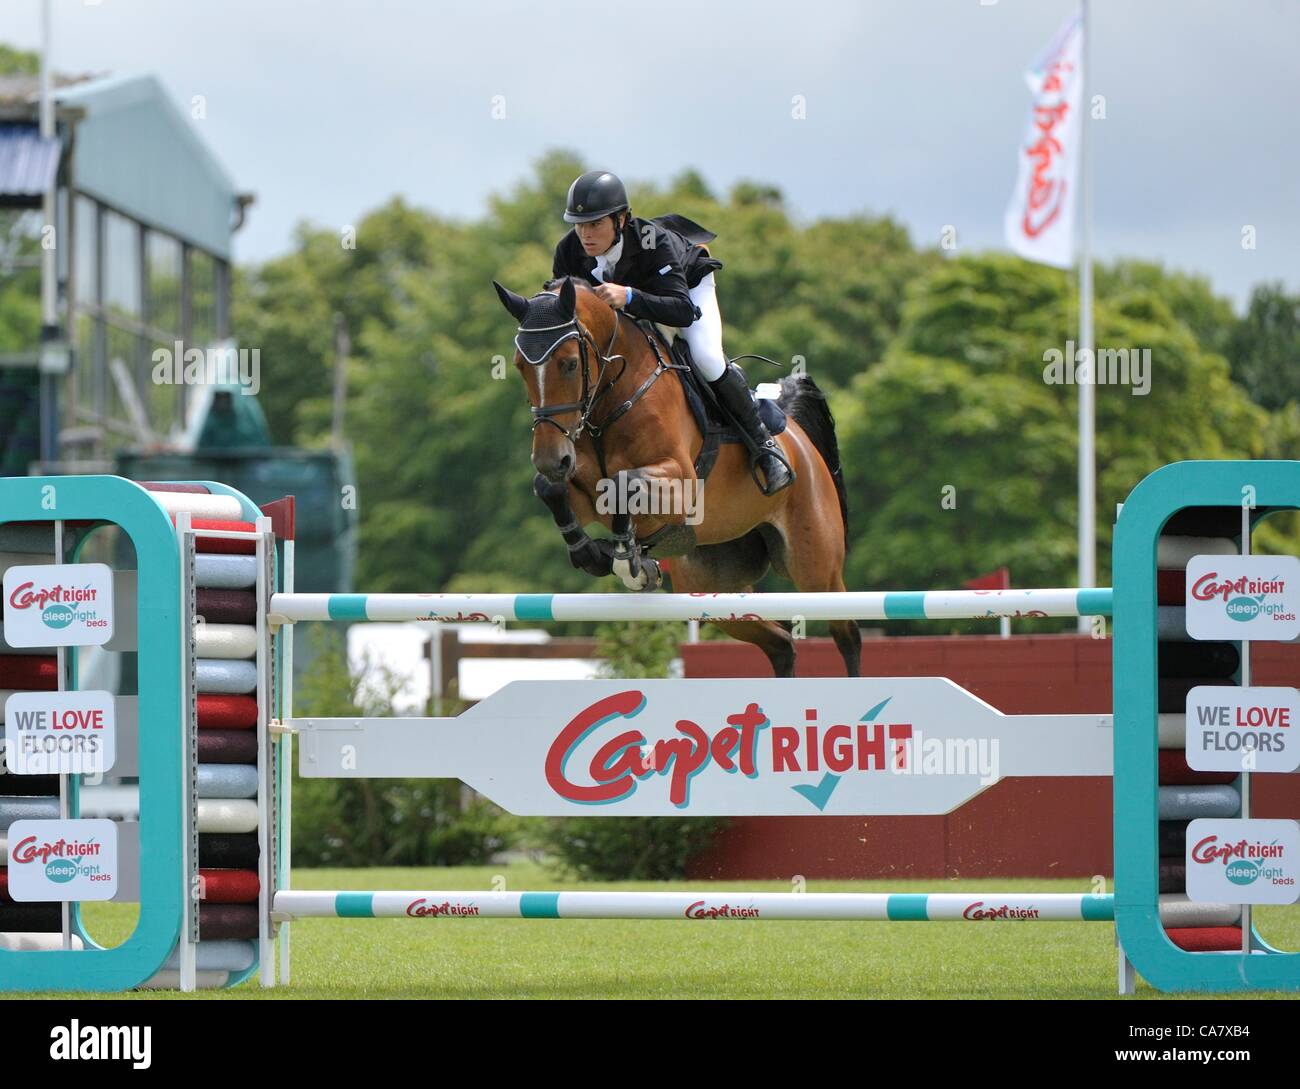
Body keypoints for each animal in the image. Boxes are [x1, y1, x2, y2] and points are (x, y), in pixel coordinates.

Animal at [491, 276, 857, 675]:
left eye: (570, 364)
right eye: (520, 366)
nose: (549, 458)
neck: (612, 400)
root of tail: (797, 436)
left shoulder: (680, 483)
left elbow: (623, 483)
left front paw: (627, 559)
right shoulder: (585, 493)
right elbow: (551, 489)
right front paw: (593, 554)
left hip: (816, 566)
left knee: (847, 633)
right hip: (711, 586)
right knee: (781, 643)